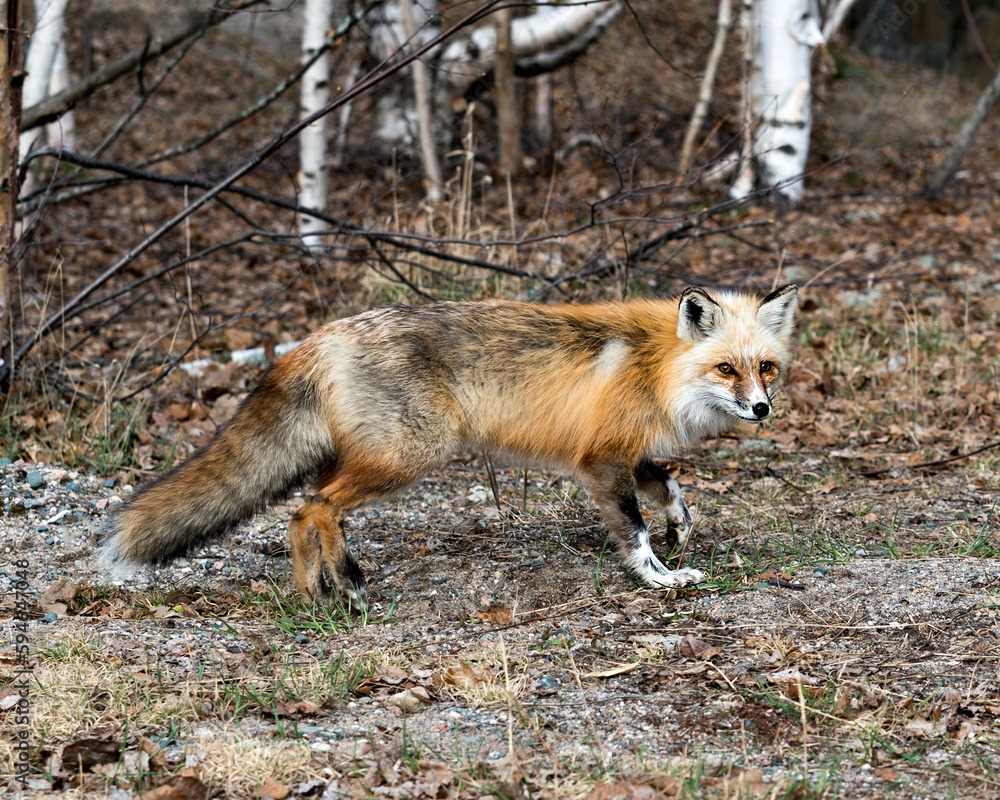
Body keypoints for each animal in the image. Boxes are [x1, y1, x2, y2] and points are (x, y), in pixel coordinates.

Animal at [98, 284, 798, 607]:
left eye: (765, 368)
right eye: (726, 369)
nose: (762, 410)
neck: (657, 368)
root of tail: (319, 335)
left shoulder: (630, 452)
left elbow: (674, 491)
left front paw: (681, 531)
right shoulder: (600, 461)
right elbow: (634, 531)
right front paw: (659, 577)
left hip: (365, 458)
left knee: (303, 512)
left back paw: (318, 592)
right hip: (406, 457)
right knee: (313, 509)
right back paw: (340, 587)